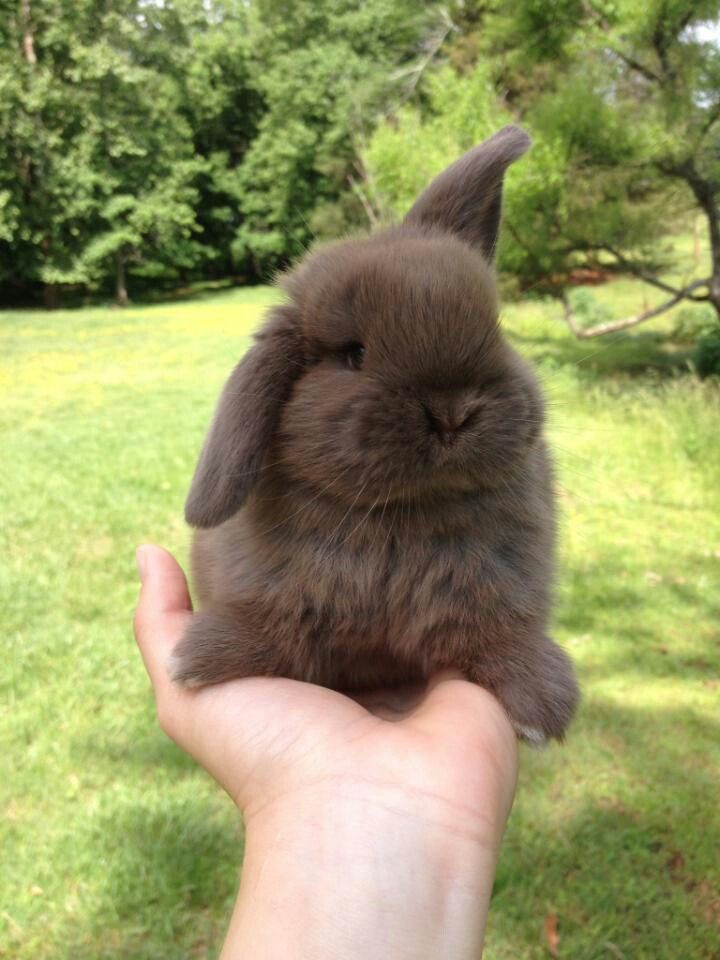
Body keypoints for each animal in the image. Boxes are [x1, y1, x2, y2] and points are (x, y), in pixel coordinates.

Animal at [173, 125, 580, 744]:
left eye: (496, 330)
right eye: (353, 354)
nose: (451, 412)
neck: (400, 512)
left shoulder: (501, 591)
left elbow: (499, 633)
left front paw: (541, 701)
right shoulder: (276, 595)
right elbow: (272, 629)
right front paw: (201, 659)